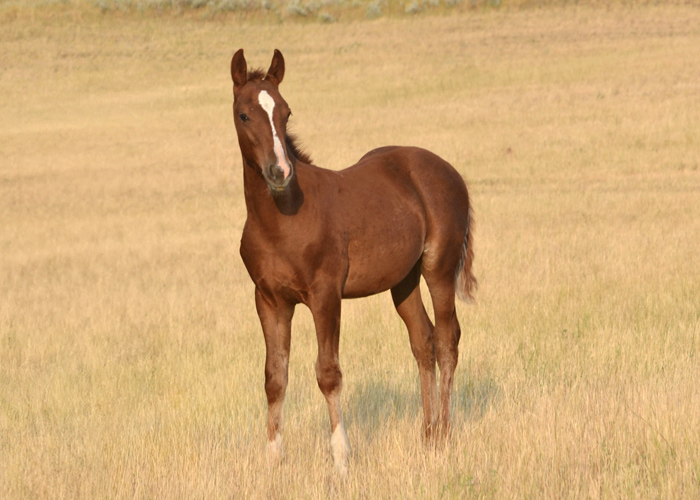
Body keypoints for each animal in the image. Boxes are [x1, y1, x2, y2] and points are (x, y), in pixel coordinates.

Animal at [230, 48, 476, 474]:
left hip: (439, 269)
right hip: (403, 281)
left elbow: (328, 373)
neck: (281, 217)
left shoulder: (325, 295)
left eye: (286, 113)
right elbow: (274, 377)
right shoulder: (268, 300)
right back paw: (427, 434)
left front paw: (341, 458)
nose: (280, 171)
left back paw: (444, 434)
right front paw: (274, 458)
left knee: (447, 340)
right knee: (423, 341)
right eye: (245, 114)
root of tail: (447, 170)